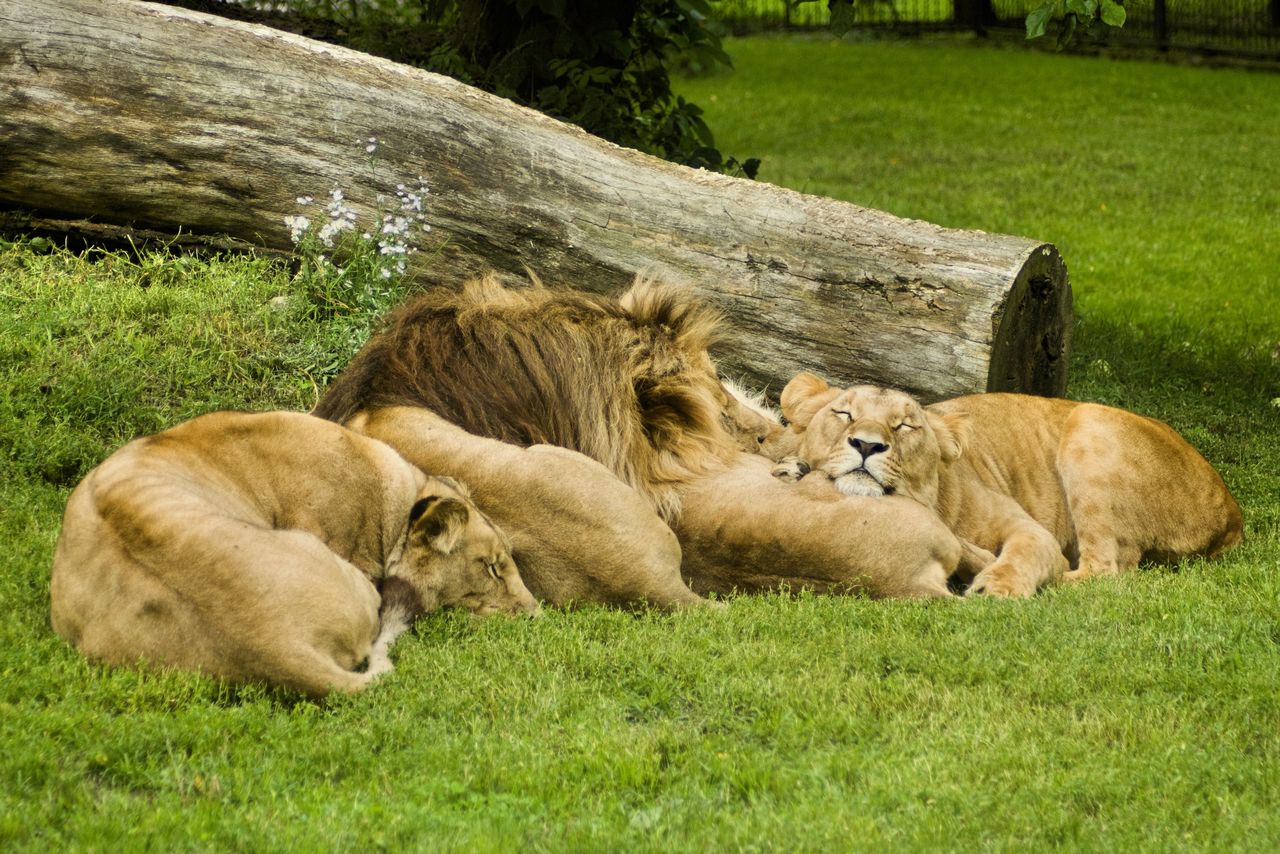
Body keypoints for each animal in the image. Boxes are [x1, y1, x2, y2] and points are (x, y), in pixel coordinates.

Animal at [768, 371, 1239, 599]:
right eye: (843, 413)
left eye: (905, 425)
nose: (867, 444)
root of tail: (1232, 511)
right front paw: (791, 467)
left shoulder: (1032, 531)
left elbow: (1027, 553)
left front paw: (999, 586)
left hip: (1089, 422)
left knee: (1100, 569)